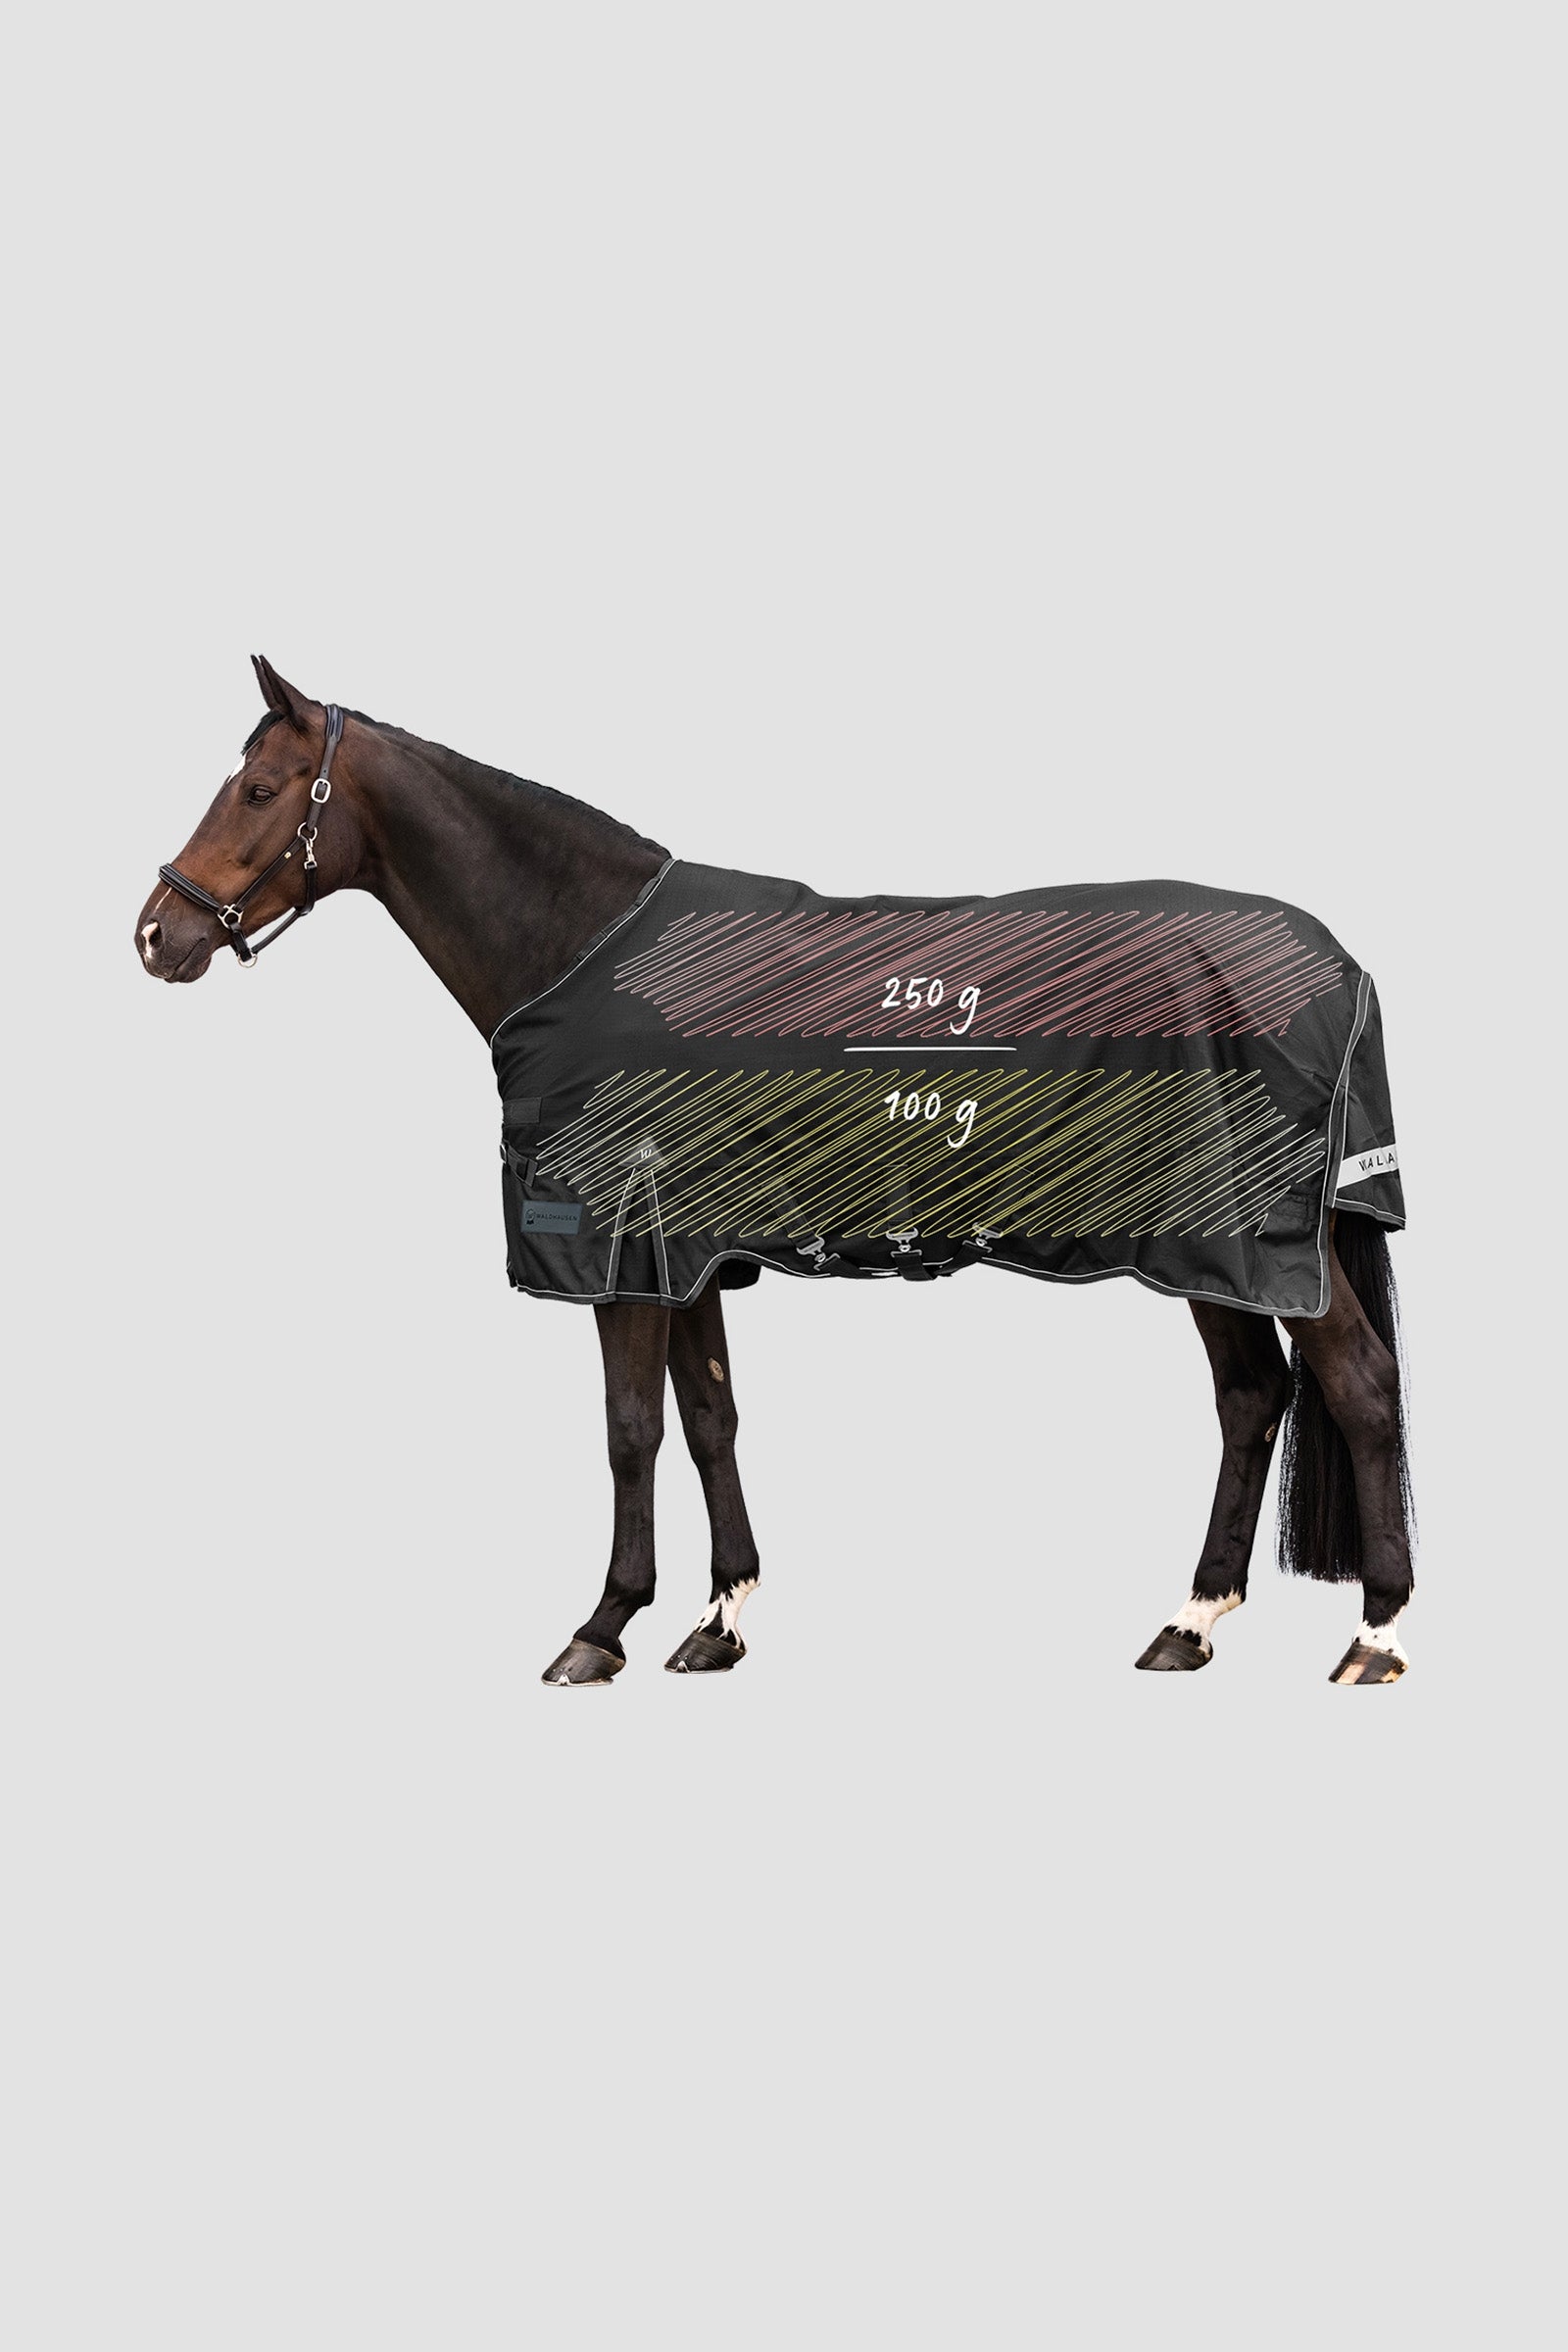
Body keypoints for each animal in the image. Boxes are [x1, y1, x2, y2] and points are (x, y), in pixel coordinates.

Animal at [136, 658, 1415, 1688]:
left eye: (258, 790)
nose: (156, 934)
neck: (584, 946)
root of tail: (1339, 965)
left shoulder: (618, 1251)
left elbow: (629, 1432)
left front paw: (600, 1629)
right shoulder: (690, 1254)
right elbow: (710, 1419)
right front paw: (718, 1621)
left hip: (1253, 1240)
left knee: (1355, 1384)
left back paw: (1376, 1636)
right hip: (1213, 1251)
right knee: (1250, 1400)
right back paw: (1189, 1623)